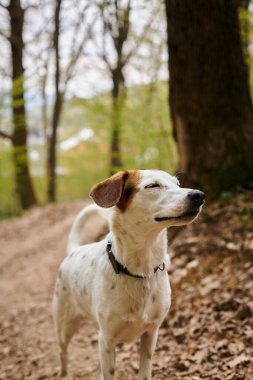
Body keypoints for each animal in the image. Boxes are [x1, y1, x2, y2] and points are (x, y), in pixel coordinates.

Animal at [52, 170, 205, 380]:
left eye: (177, 184)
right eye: (153, 186)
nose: (199, 195)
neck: (139, 271)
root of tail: (74, 250)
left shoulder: (151, 334)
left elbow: (144, 372)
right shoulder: (107, 340)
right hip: (65, 326)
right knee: (62, 354)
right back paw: (64, 373)